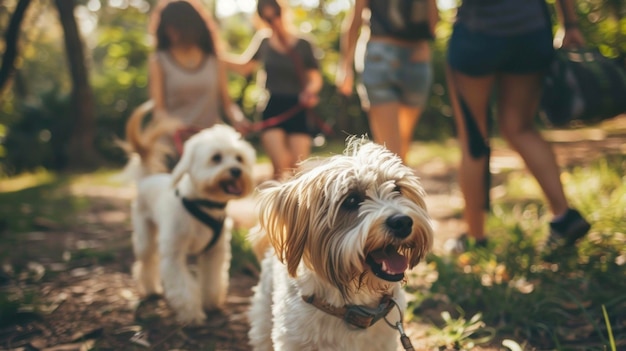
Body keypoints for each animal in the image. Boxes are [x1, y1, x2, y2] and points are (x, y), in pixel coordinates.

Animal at [123, 104, 255, 324]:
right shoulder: (174, 254)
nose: (236, 170)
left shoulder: (214, 252)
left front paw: (211, 302)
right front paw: (191, 314)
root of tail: (147, 178)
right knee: (147, 261)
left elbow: (212, 280)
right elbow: (183, 286)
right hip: (145, 237)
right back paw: (150, 289)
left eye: (239, 158)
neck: (204, 205)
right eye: (216, 157)